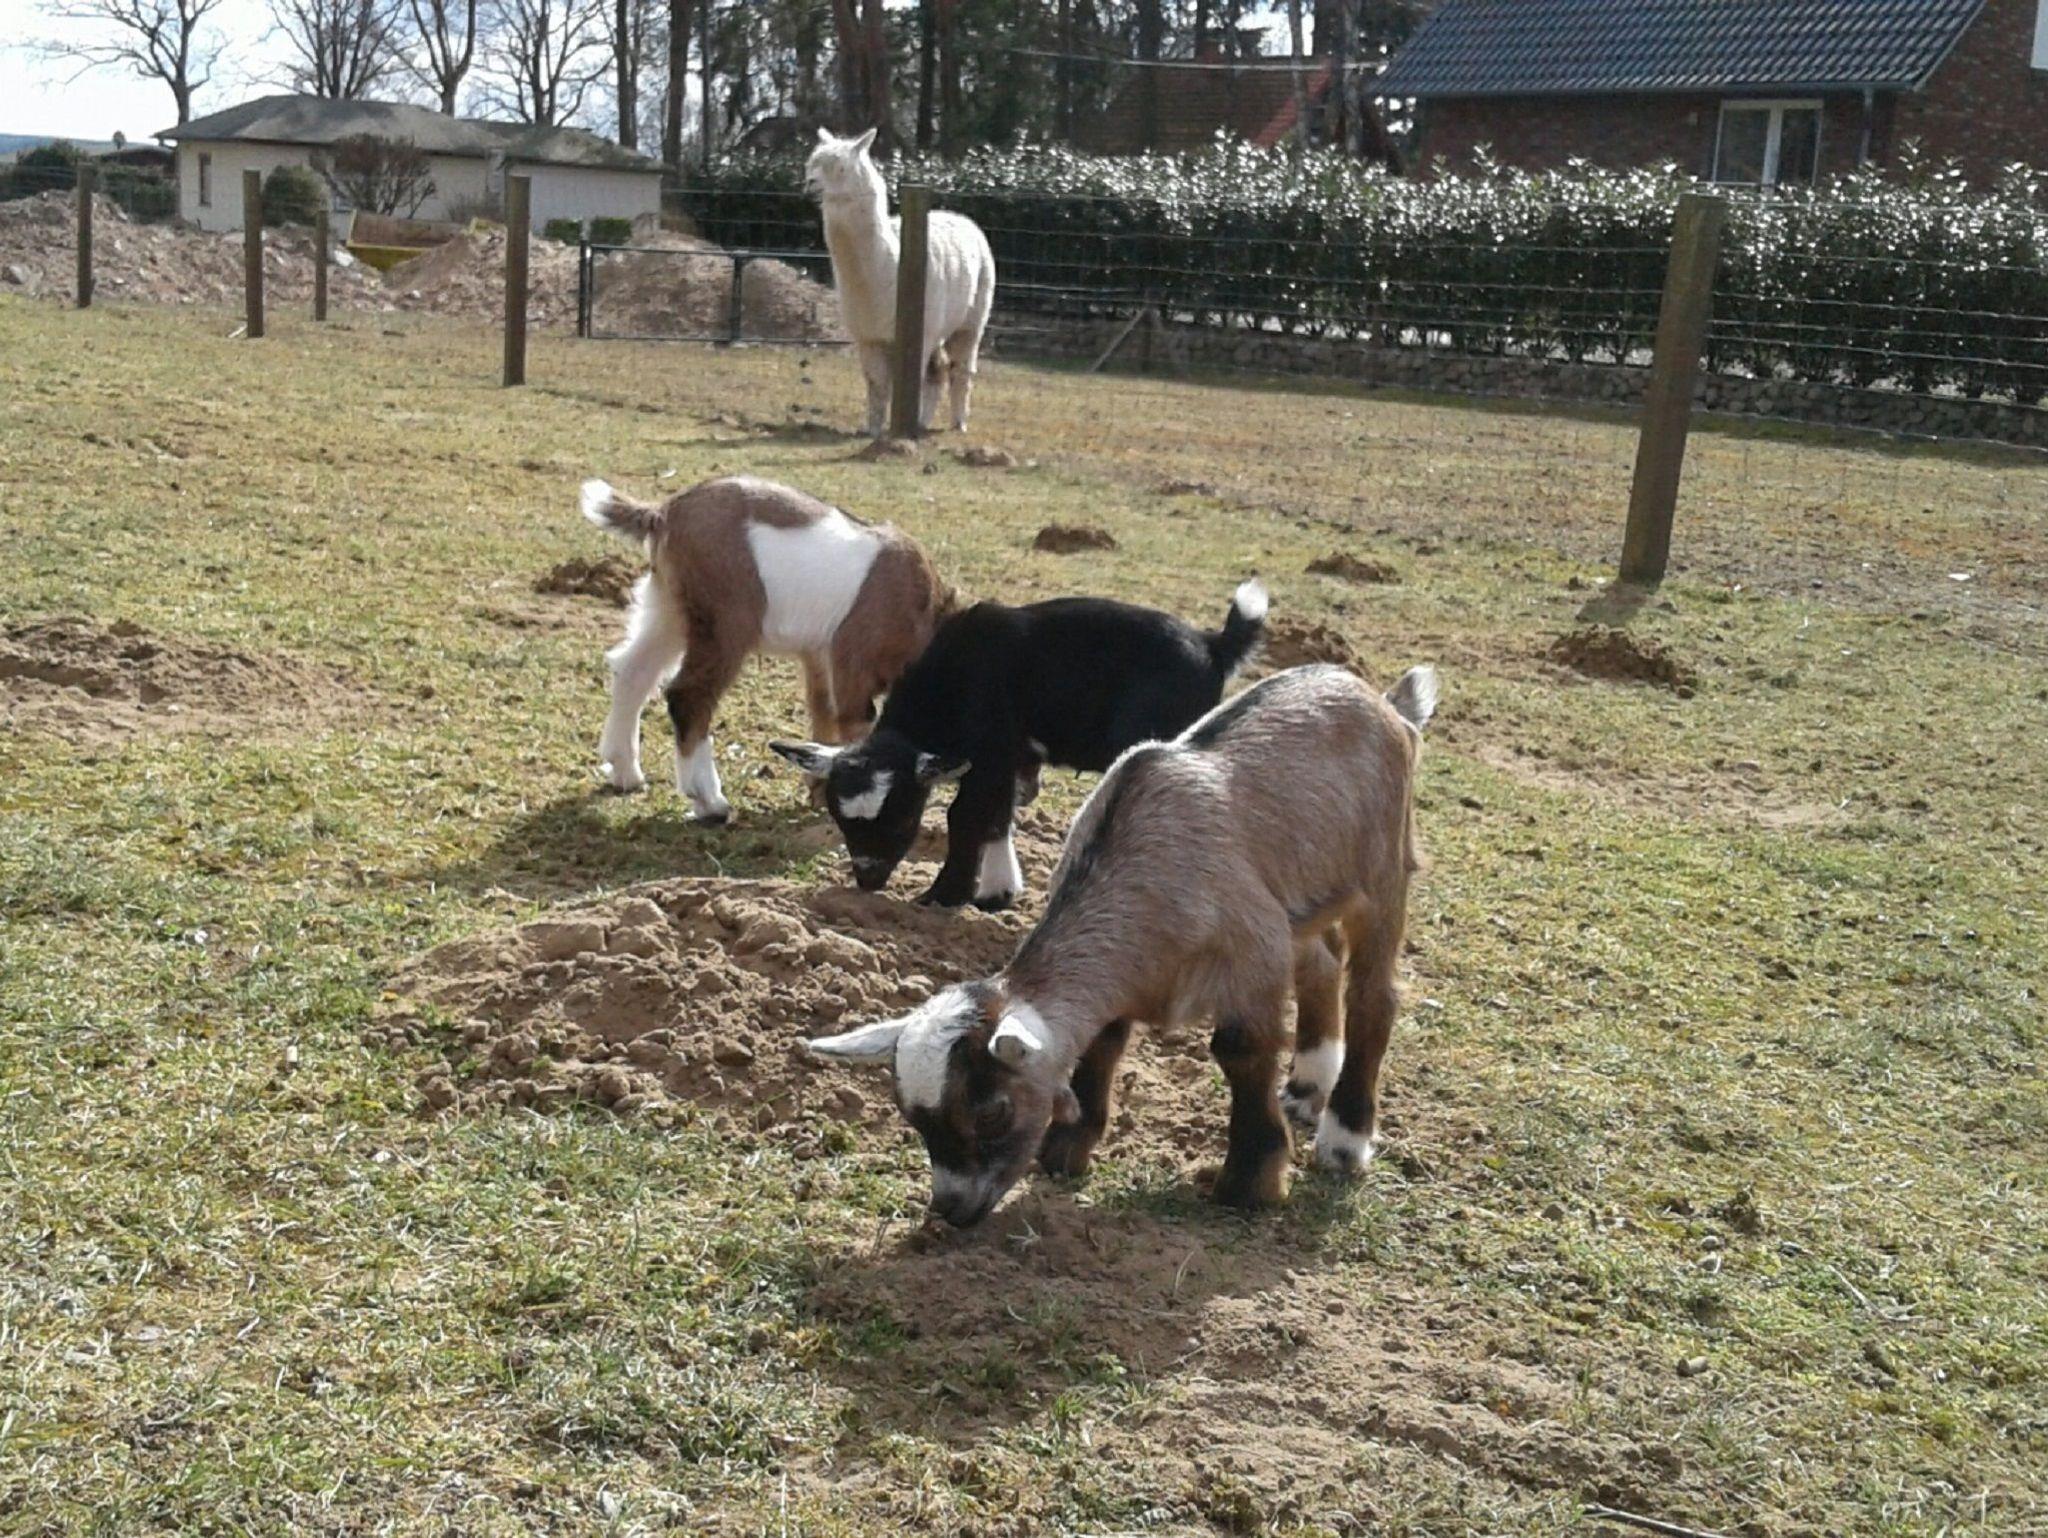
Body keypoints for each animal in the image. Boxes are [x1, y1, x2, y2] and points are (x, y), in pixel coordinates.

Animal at [582, 474, 952, 823]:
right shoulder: (853, 658)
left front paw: (819, 793)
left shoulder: (819, 656)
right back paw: (709, 802)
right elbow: (853, 723)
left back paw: (625, 772)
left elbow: (823, 715)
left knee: (633, 669)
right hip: (726, 622)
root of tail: (664, 512)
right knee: (688, 695)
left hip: (671, 607)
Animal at [769, 580, 1268, 910]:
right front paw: (997, 892)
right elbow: (997, 815)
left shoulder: (990, 750)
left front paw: (943, 896)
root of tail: (1213, 645)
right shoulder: (1010, 758)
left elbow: (966, 816)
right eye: (840, 820)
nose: (868, 880)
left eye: (904, 818)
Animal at [804, 662, 1437, 1228]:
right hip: (1301, 899)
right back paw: (1306, 1088)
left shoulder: (1252, 954)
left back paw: (1344, 1139)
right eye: (914, 1120)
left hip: (1383, 872)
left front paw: (1248, 1184)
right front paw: (1067, 1149)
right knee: (1322, 965)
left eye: (992, 1113)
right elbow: (1102, 1042)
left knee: (1374, 996)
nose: (952, 1210)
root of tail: (1385, 704)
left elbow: (1240, 1049)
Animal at [806, 127, 997, 437]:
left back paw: (957, 423)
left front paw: (900, 430)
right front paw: (873, 429)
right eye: (810, 164)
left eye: (841, 167)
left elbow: (908, 381)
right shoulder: (868, 335)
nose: (810, 184)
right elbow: (876, 383)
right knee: (938, 370)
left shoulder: (917, 331)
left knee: (961, 368)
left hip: (973, 315)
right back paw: (923, 421)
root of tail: (960, 217)